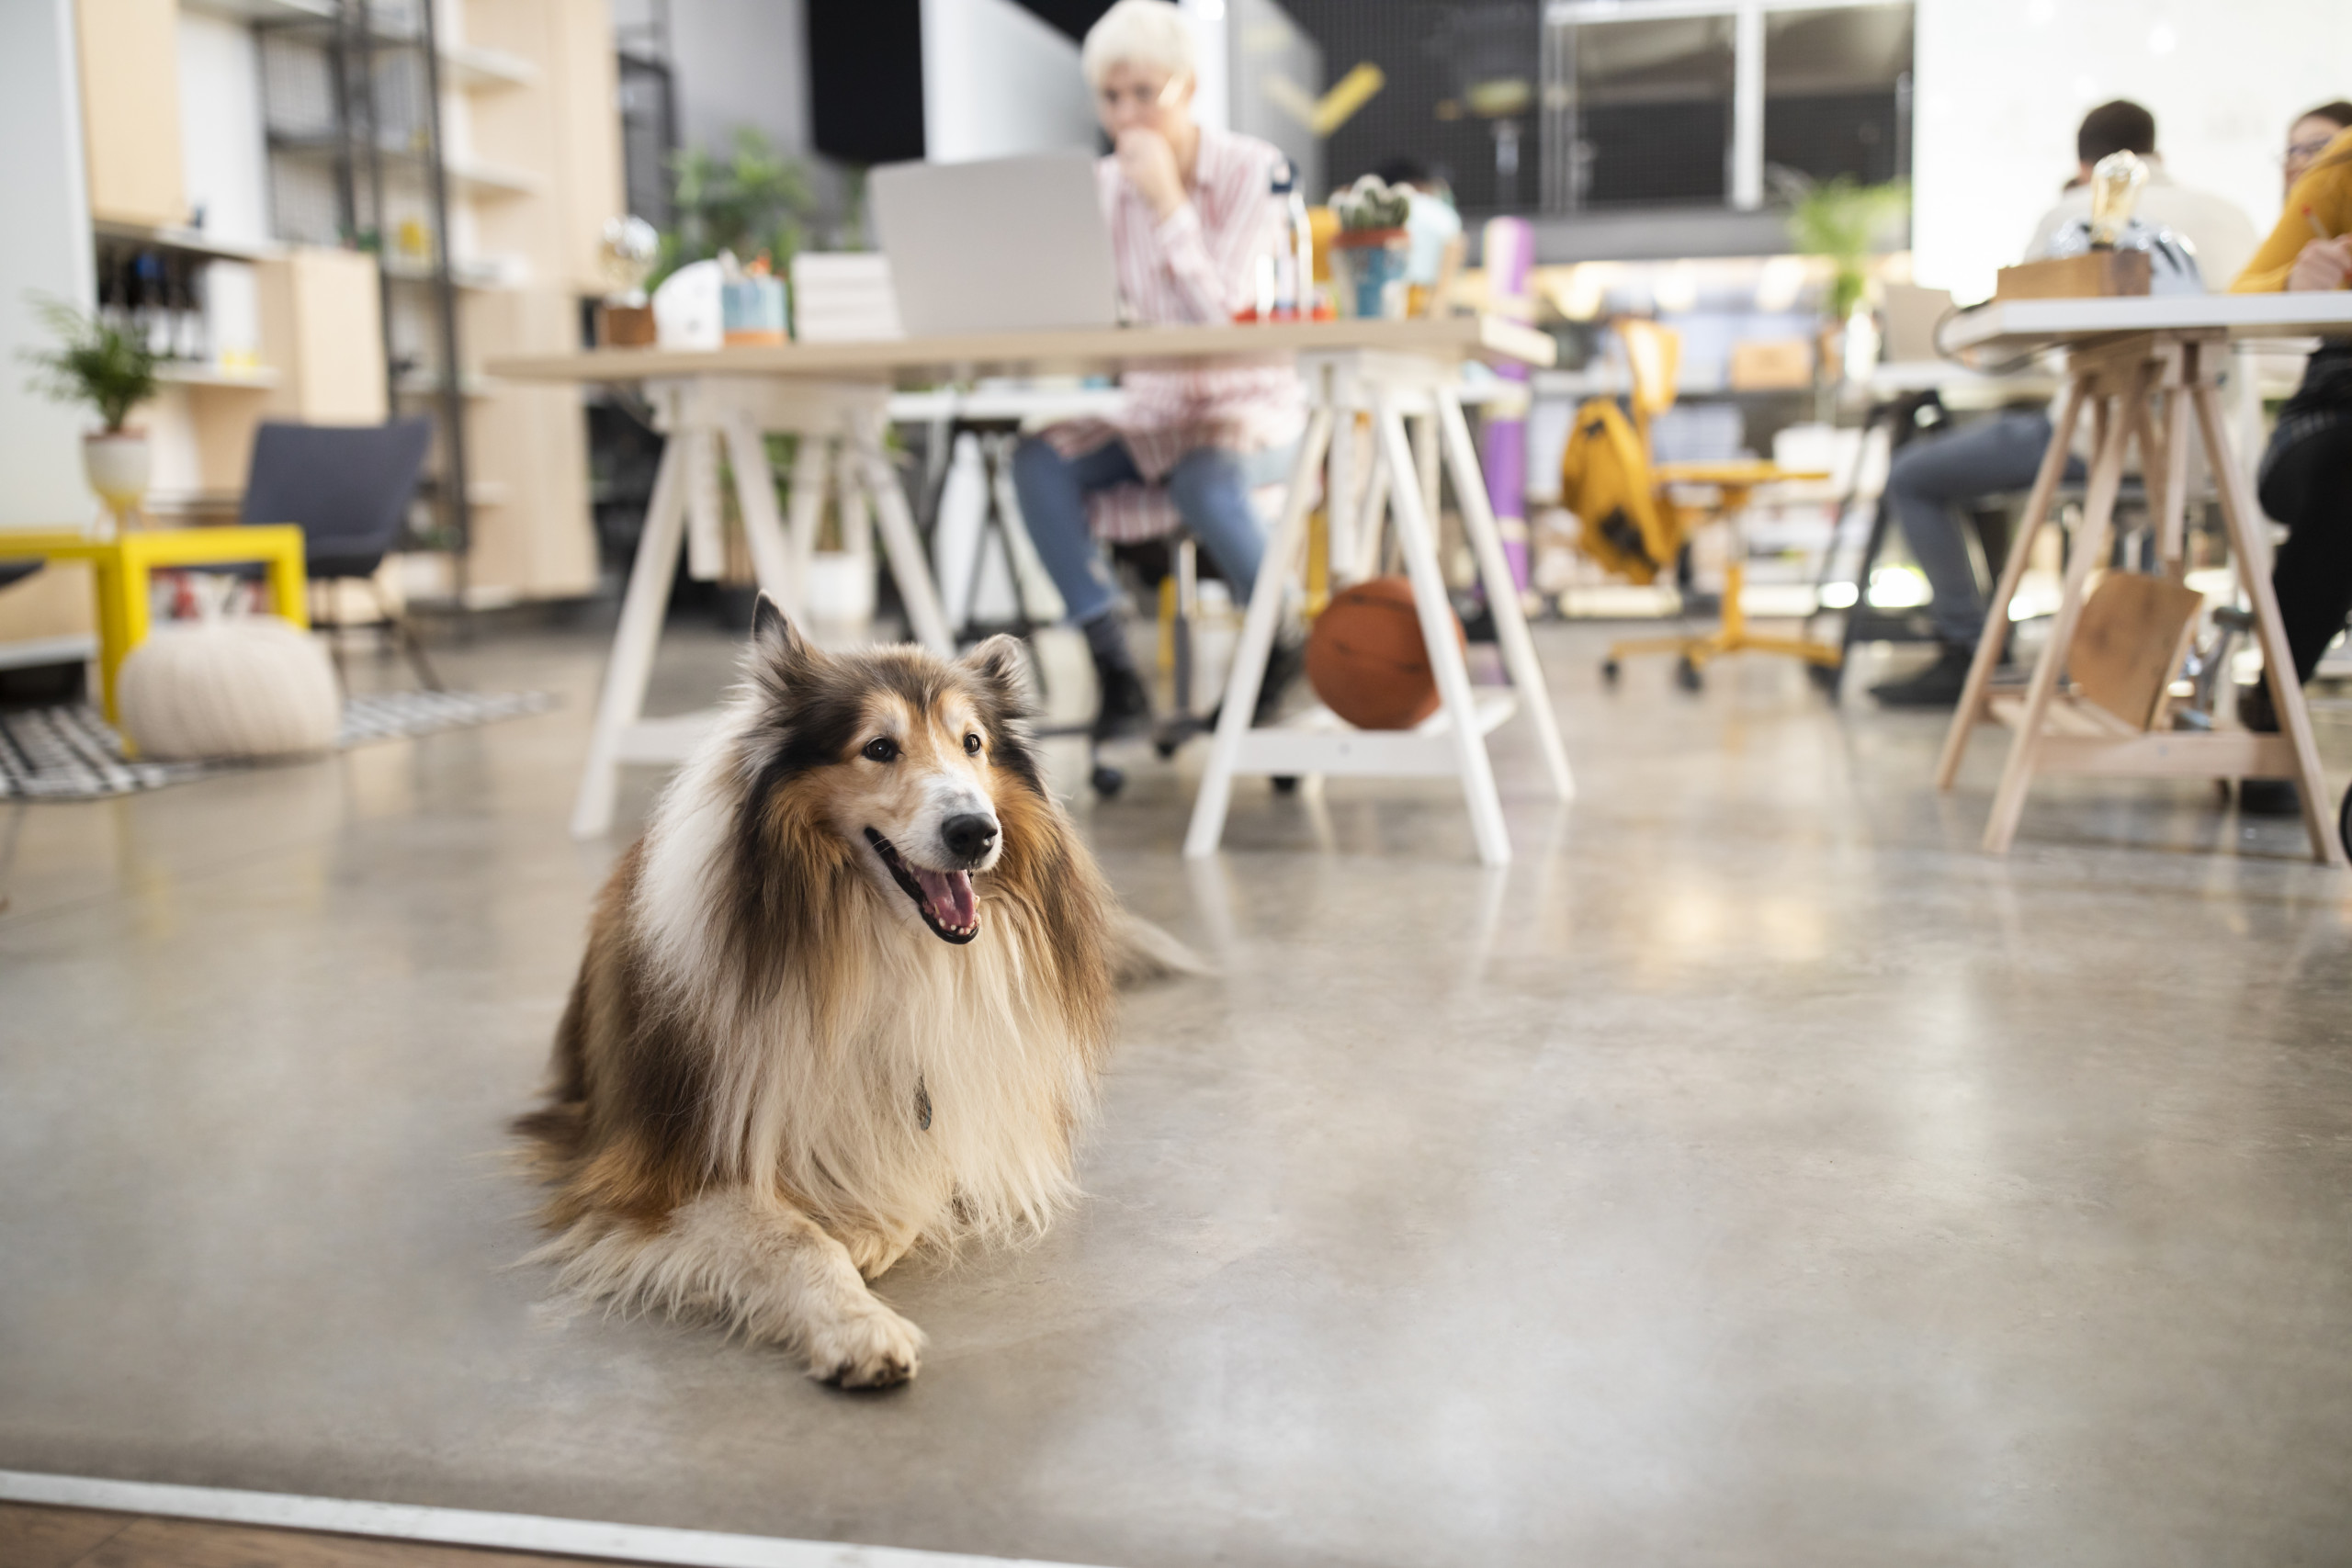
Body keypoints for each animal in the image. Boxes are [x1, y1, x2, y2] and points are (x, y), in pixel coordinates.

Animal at [517, 602, 1138, 1382]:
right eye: (878, 747)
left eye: (973, 743)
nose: (975, 831)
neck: (877, 943)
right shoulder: (661, 1169)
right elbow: (794, 1238)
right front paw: (859, 1327)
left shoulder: (954, 1106)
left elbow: (914, 1173)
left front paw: (865, 1227)